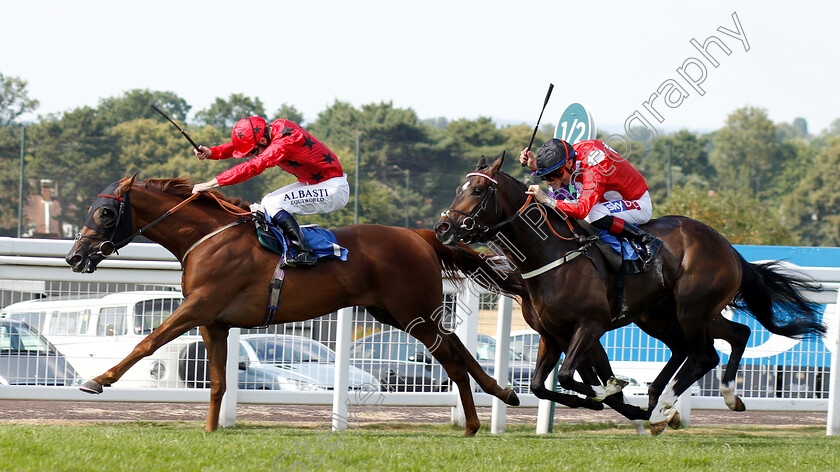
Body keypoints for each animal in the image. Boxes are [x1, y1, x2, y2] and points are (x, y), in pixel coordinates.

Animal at [67, 176, 532, 436]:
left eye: (105, 213)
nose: (75, 257)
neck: (207, 238)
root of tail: (419, 235)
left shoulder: (198, 307)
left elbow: (147, 342)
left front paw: (98, 380)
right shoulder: (215, 323)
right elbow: (218, 382)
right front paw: (211, 429)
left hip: (412, 312)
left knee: (451, 356)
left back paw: (473, 423)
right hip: (395, 313)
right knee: (458, 346)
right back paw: (503, 393)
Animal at [436, 153, 824, 434]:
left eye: (477, 191)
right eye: (457, 188)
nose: (443, 227)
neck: (548, 254)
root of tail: (728, 247)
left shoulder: (590, 325)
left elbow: (573, 377)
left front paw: (608, 393)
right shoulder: (552, 334)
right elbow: (541, 385)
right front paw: (607, 399)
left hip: (691, 310)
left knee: (705, 354)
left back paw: (663, 409)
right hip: (665, 315)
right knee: (729, 336)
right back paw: (707, 398)